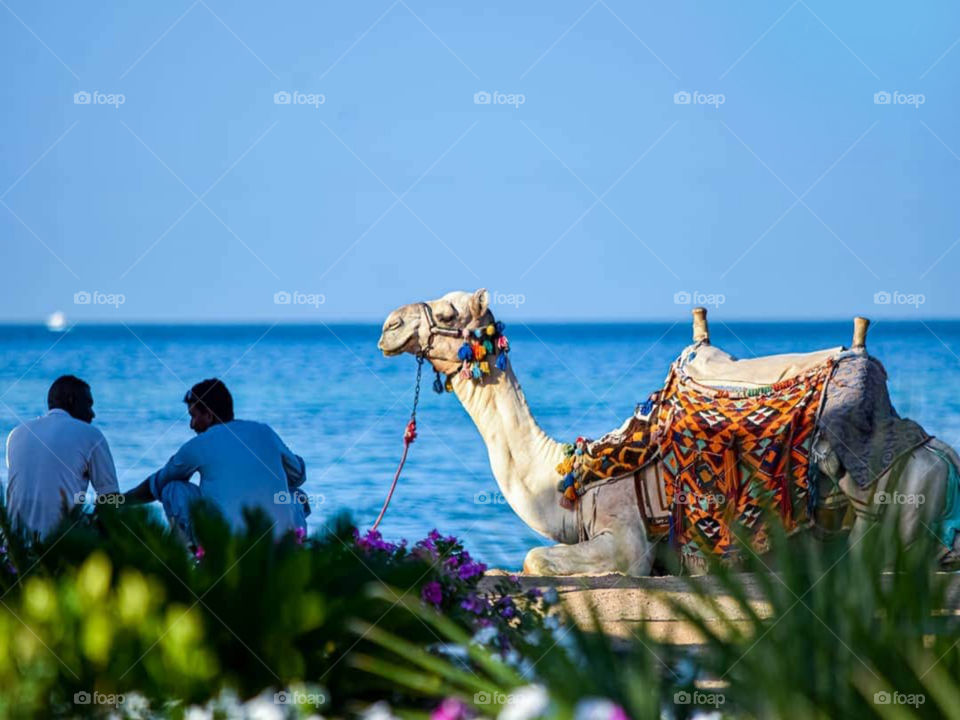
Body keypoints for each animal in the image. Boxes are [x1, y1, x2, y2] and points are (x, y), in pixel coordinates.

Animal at [378, 289, 960, 576]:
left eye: (448, 310)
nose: (388, 326)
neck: (567, 478)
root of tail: (942, 455)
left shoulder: (626, 540)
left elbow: (535, 558)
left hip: (901, 504)